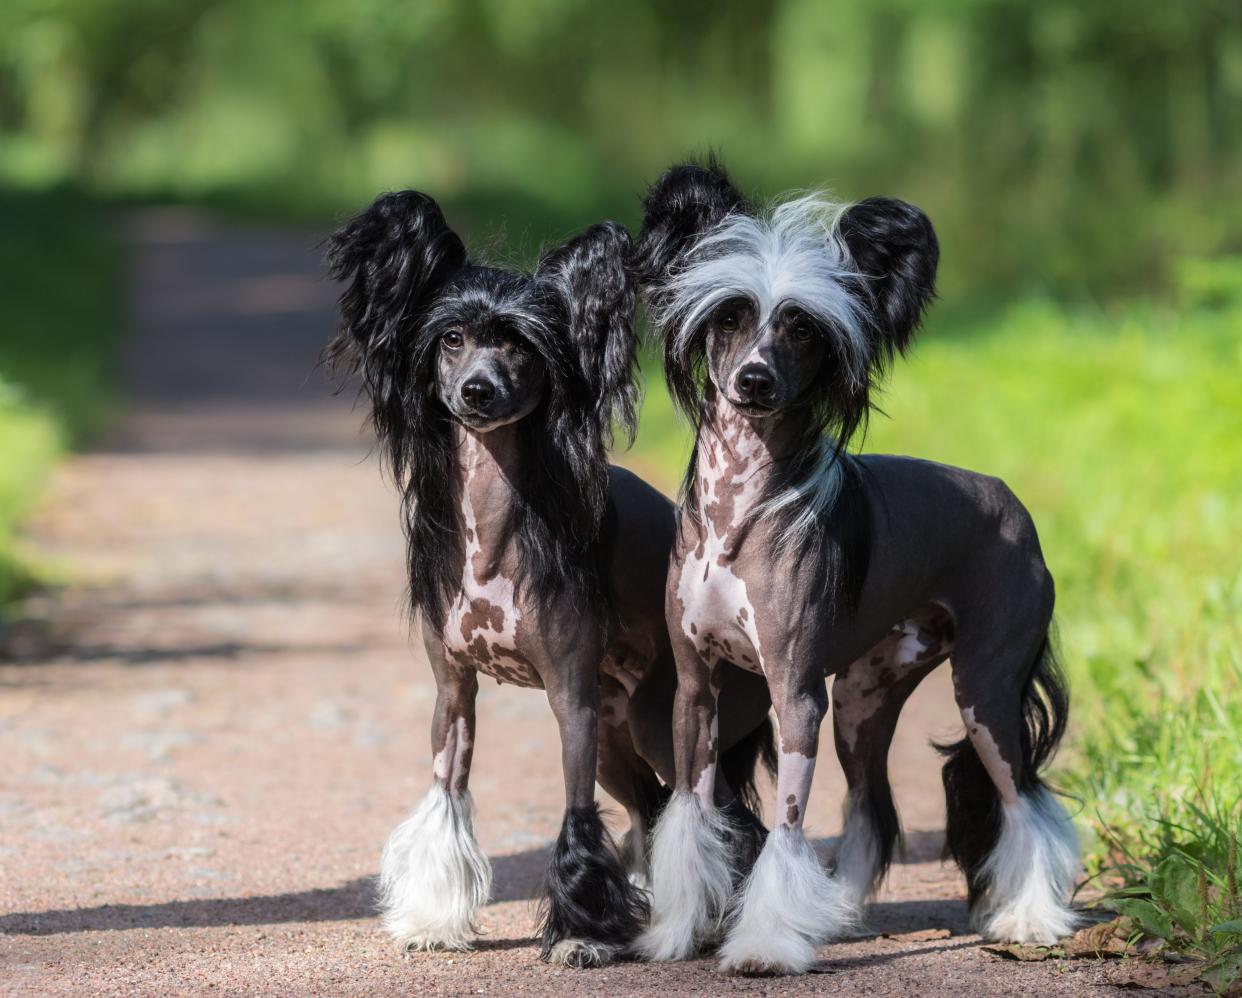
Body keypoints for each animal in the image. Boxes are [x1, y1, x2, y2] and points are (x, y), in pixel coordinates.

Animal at [322, 188, 765, 968]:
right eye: (451, 338)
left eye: (520, 346)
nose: (476, 390)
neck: (493, 529)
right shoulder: (454, 695)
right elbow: (446, 800)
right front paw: (434, 921)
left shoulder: (571, 702)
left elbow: (576, 817)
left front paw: (582, 934)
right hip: (622, 733)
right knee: (653, 807)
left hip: (667, 722)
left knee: (727, 820)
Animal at [630, 165, 1078, 973]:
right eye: (730, 317)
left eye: (802, 328)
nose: (754, 380)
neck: (737, 515)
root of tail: (1009, 500)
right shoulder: (697, 690)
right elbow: (688, 815)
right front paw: (675, 933)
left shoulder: (796, 696)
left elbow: (786, 830)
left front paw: (764, 945)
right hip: (864, 699)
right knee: (872, 806)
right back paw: (837, 915)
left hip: (984, 691)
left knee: (1025, 802)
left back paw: (1030, 919)